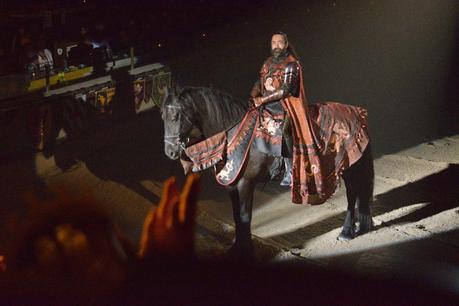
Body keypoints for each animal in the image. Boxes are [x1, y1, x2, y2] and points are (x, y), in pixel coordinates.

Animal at [161, 86, 374, 258]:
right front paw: (237, 248)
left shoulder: (246, 183)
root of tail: (356, 112)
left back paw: (346, 232)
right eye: (162, 117)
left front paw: (246, 251)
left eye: (175, 117)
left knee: (352, 194)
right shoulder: (232, 186)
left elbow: (245, 216)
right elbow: (237, 216)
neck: (235, 133)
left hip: (349, 166)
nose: (170, 152)